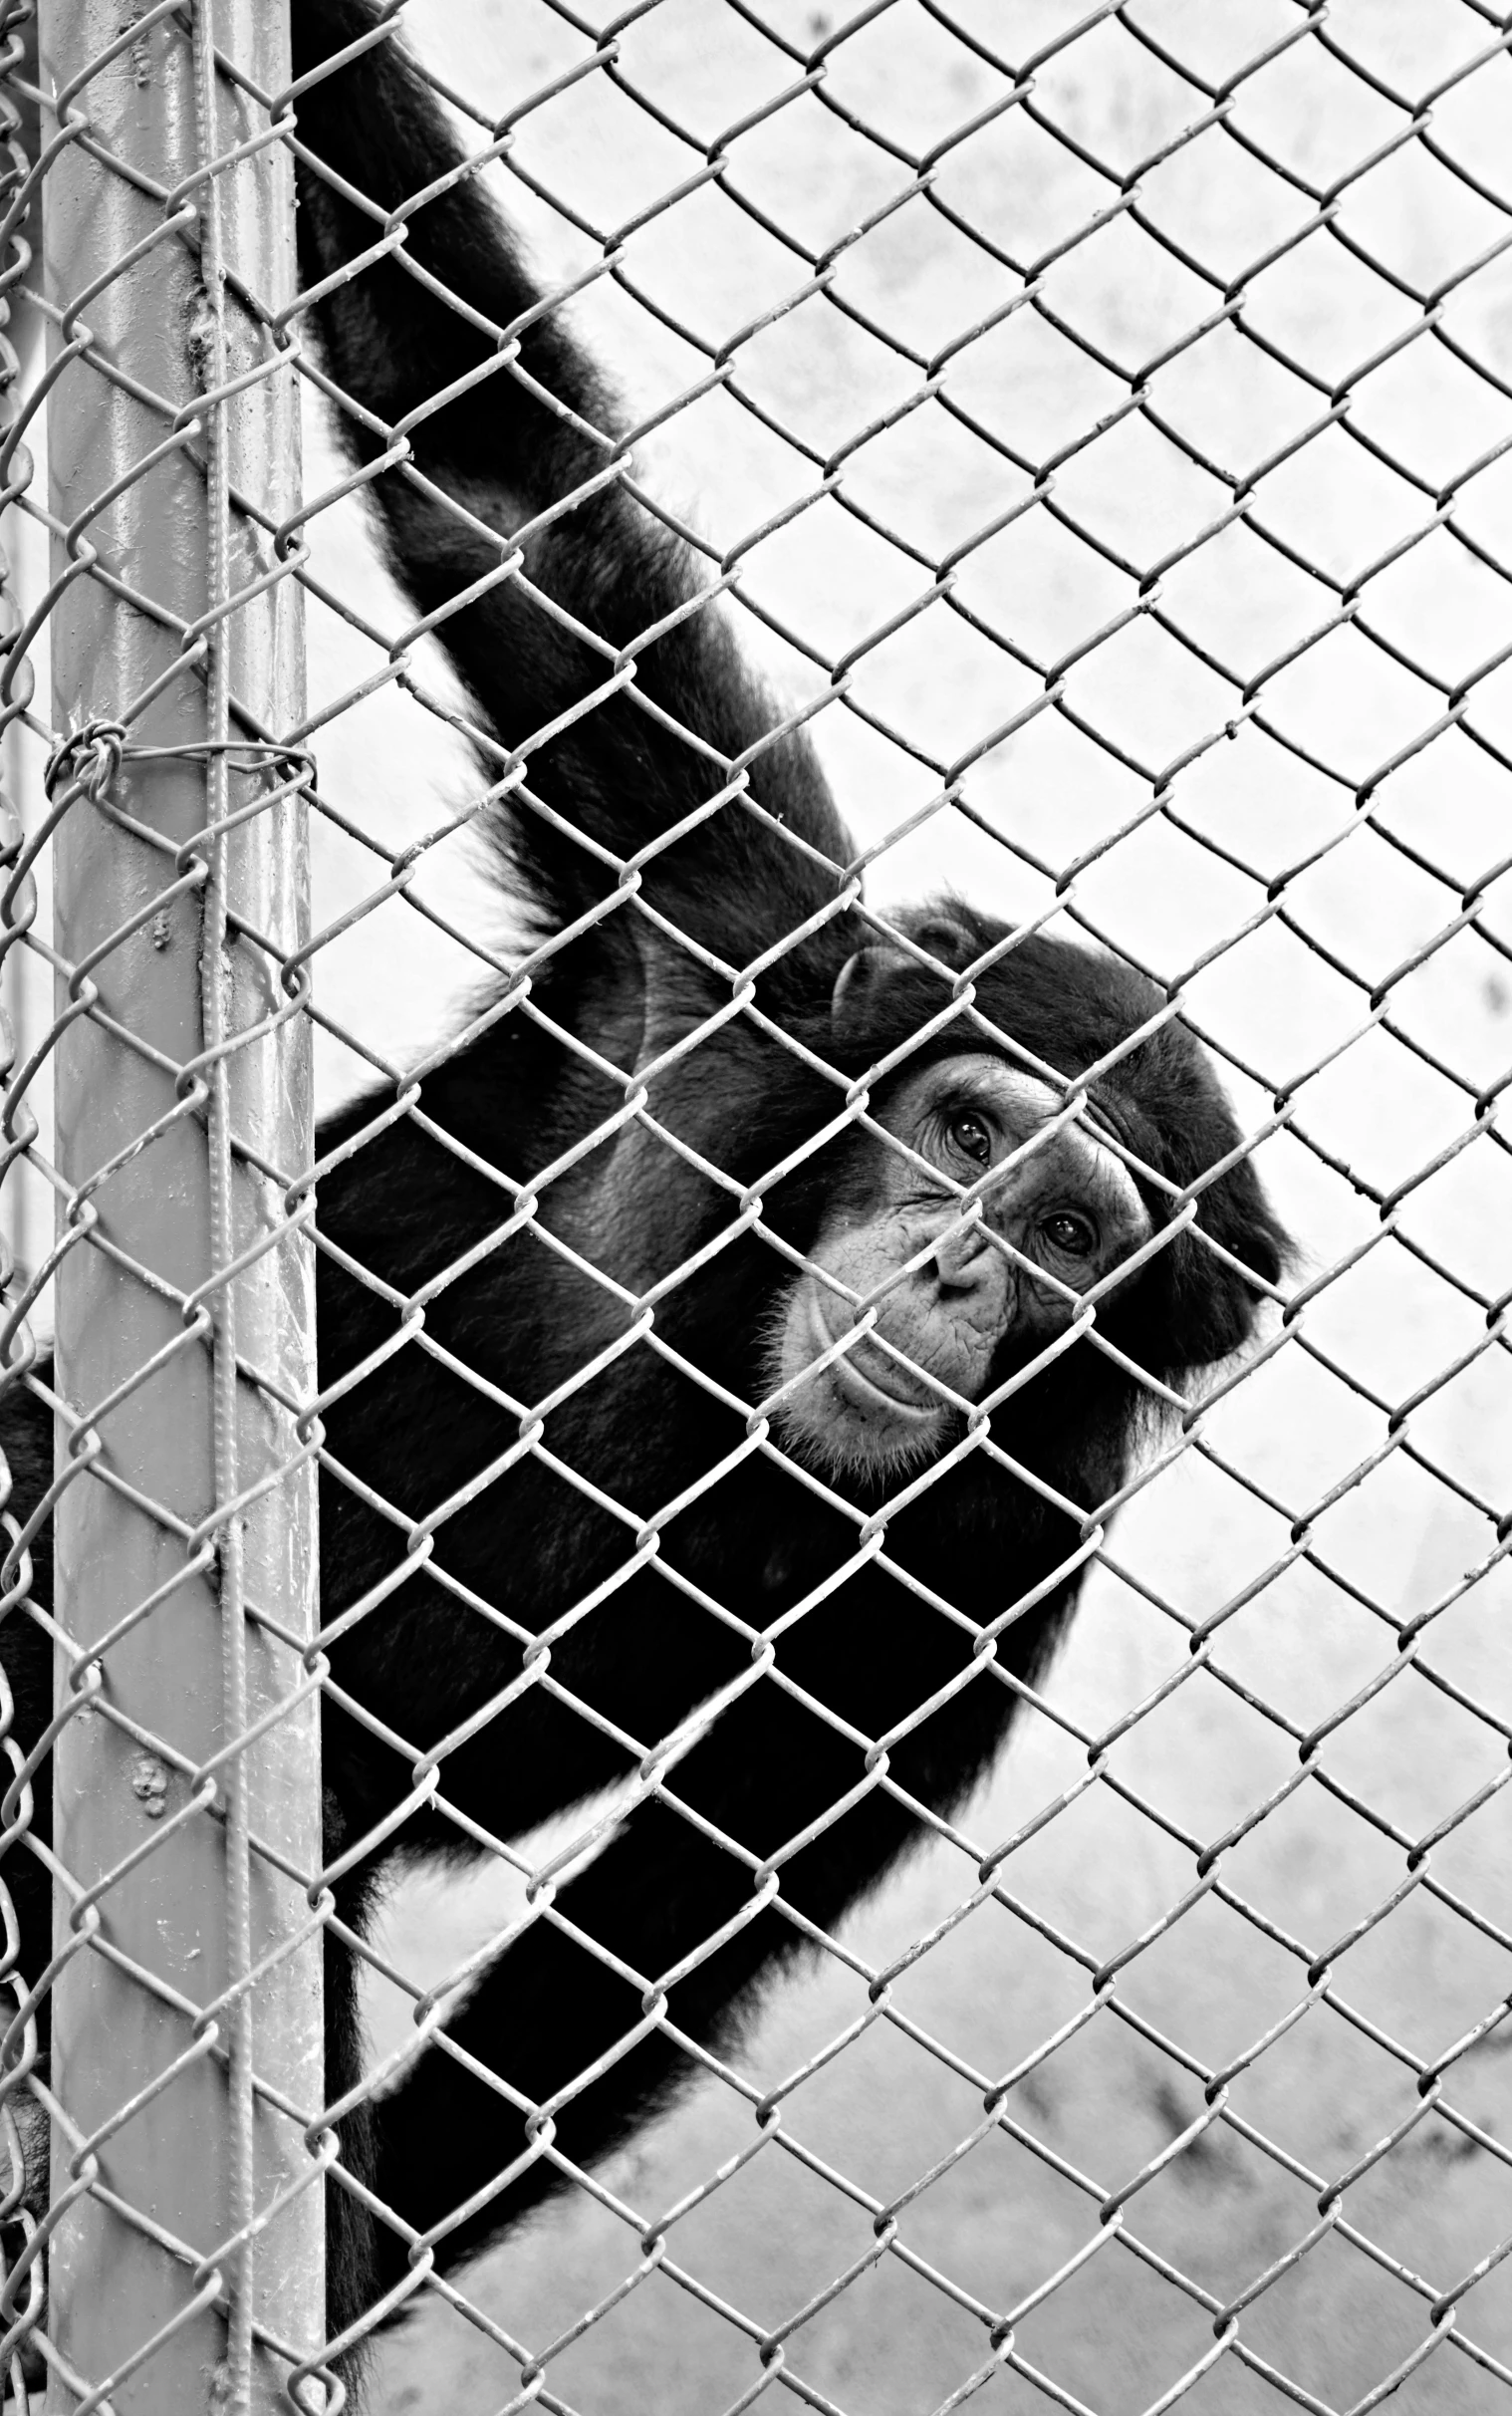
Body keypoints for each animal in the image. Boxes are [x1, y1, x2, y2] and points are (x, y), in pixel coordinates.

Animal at [2, 0, 1285, 2377]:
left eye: (1076, 1238)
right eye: (969, 1134)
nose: (959, 1269)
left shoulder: (1013, 1560)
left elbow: (695, 1897)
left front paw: (343, 2251)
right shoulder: (722, 906)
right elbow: (506, 492)